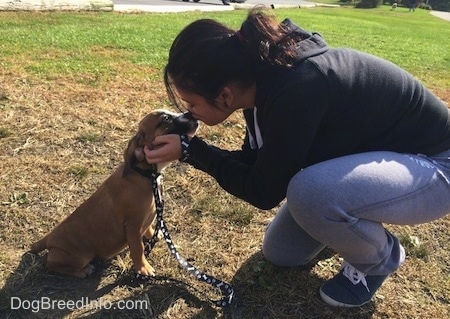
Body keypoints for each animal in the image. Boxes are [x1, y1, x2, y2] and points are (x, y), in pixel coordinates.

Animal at [31, 110, 199, 280]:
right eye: (165, 118)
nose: (192, 114)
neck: (145, 174)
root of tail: (48, 238)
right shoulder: (133, 226)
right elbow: (138, 249)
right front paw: (143, 268)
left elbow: (149, 228)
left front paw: (153, 235)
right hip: (76, 257)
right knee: (51, 265)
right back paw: (84, 271)